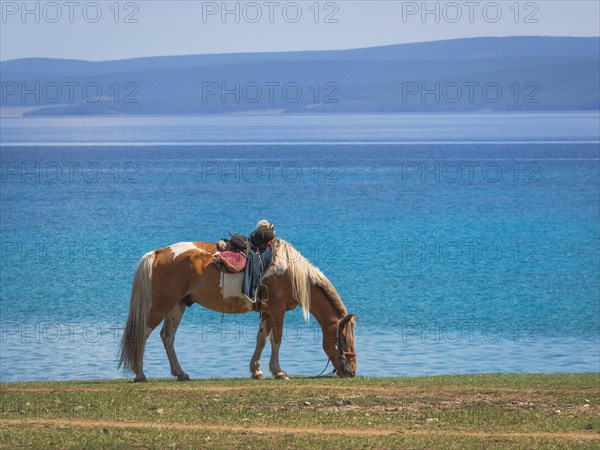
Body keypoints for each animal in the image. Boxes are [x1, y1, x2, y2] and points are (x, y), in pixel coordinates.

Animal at [119, 237, 358, 382]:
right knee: (142, 334)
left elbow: (261, 340)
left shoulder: (267, 312)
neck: (289, 272)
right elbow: (276, 339)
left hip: (178, 305)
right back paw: (140, 374)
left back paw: (181, 373)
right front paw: (279, 372)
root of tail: (158, 253)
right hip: (162, 304)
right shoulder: (277, 309)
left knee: (167, 337)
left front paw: (257, 371)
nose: (352, 371)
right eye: (344, 339)